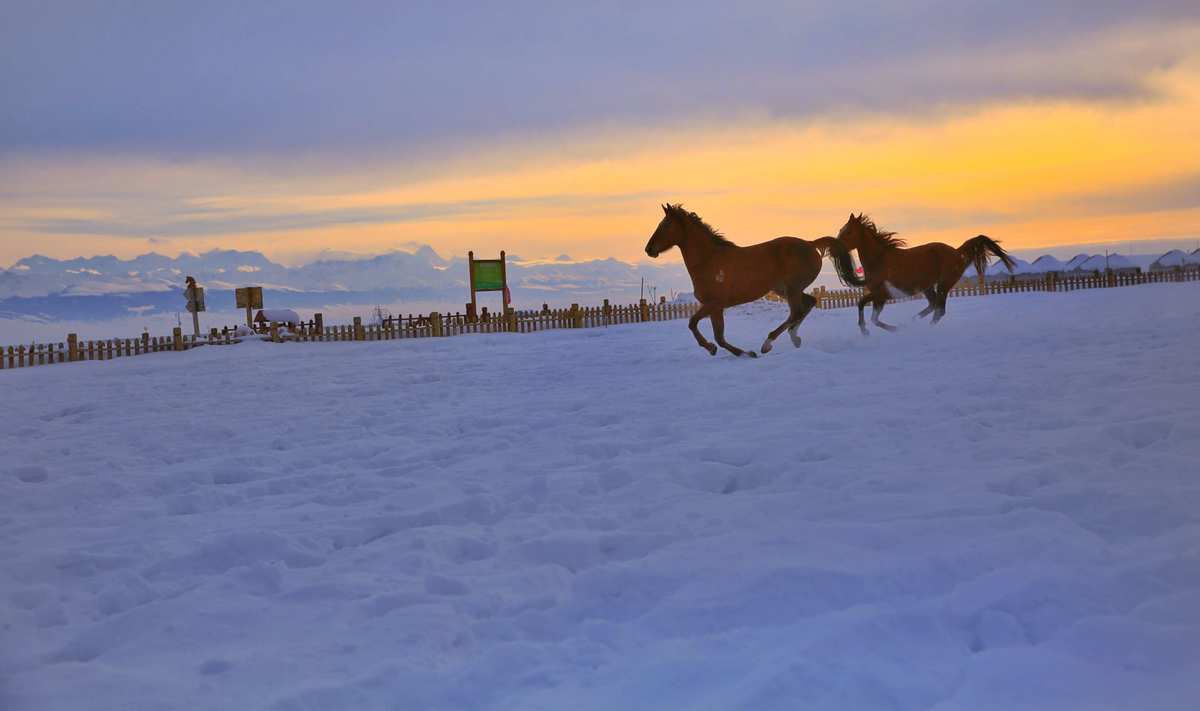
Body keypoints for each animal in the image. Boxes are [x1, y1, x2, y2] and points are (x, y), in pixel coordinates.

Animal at [648, 202, 864, 357]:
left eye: (665, 224)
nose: (648, 249)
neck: (708, 260)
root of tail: (810, 244)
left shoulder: (713, 304)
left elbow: (693, 324)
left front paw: (713, 348)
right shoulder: (716, 308)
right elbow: (719, 337)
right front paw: (741, 353)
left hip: (792, 289)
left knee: (797, 311)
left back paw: (768, 344)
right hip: (784, 289)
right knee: (808, 303)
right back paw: (794, 338)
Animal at [840, 212, 1017, 333]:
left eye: (848, 232)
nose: (838, 245)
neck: (879, 259)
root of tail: (957, 252)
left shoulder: (882, 294)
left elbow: (863, 306)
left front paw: (867, 331)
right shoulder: (880, 297)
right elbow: (873, 317)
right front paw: (895, 328)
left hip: (944, 284)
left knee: (939, 310)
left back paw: (924, 327)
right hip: (928, 286)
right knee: (933, 306)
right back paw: (913, 321)